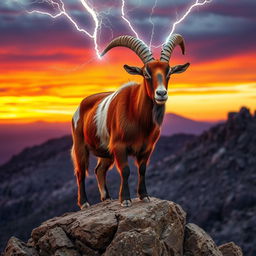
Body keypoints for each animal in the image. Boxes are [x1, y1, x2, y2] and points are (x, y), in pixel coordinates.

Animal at [71, 33, 189, 208]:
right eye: (146, 73)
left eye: (169, 73)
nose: (161, 94)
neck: (138, 118)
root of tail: (81, 105)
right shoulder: (119, 146)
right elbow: (125, 170)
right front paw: (125, 199)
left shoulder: (147, 148)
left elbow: (142, 169)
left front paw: (144, 196)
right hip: (80, 145)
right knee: (80, 171)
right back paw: (84, 203)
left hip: (106, 151)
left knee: (99, 169)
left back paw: (107, 198)